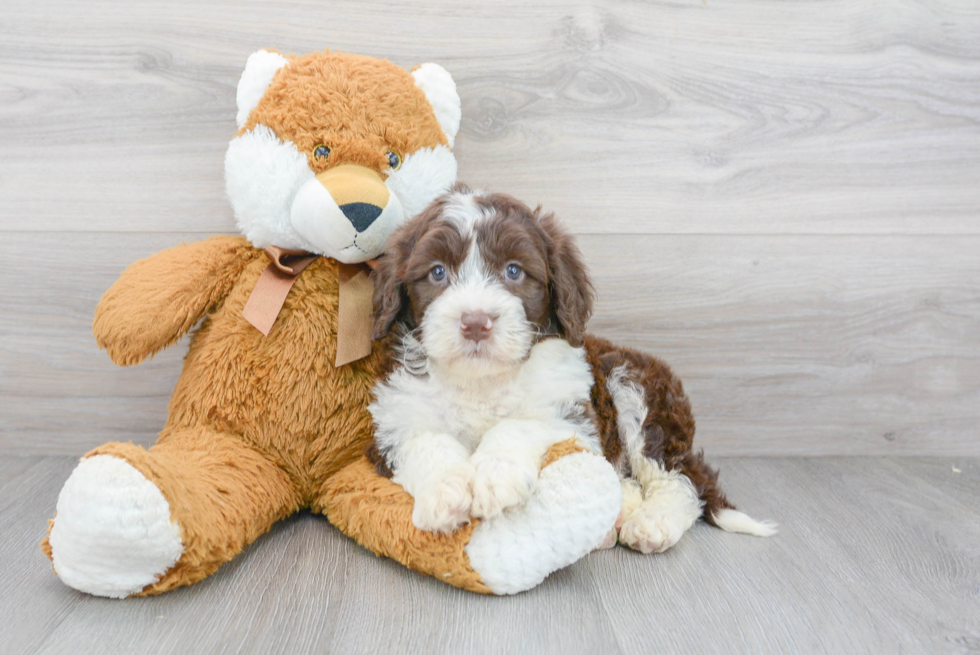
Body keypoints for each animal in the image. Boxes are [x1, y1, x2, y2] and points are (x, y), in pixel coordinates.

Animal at [368, 183, 772, 548]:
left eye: (514, 271)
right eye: (437, 273)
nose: (476, 322)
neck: (483, 380)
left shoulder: (573, 415)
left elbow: (519, 424)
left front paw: (494, 477)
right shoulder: (395, 419)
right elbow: (426, 441)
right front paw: (446, 493)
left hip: (640, 392)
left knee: (681, 478)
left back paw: (653, 523)